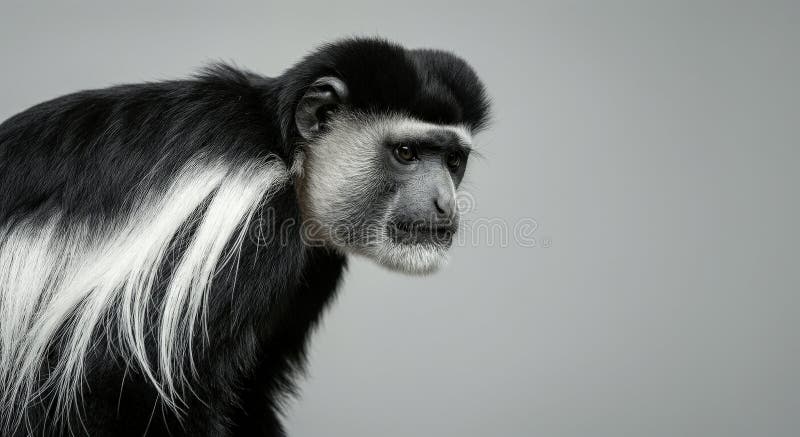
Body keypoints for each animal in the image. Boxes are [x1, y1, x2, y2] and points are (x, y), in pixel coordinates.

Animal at [0, 37, 490, 436]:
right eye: (405, 153)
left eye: (452, 160)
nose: (445, 206)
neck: (285, 149)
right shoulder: (239, 220)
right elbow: (121, 385)